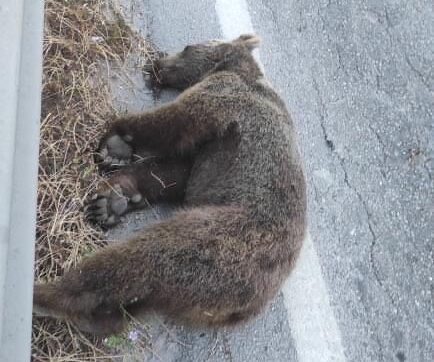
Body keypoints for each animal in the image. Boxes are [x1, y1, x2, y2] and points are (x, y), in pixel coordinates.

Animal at [33, 35, 306, 336]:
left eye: (187, 47)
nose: (157, 62)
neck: (238, 69)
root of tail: (244, 308)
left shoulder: (225, 98)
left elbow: (172, 122)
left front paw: (116, 141)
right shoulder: (209, 158)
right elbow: (176, 174)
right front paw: (116, 195)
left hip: (220, 242)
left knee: (143, 259)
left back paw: (47, 295)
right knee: (137, 299)